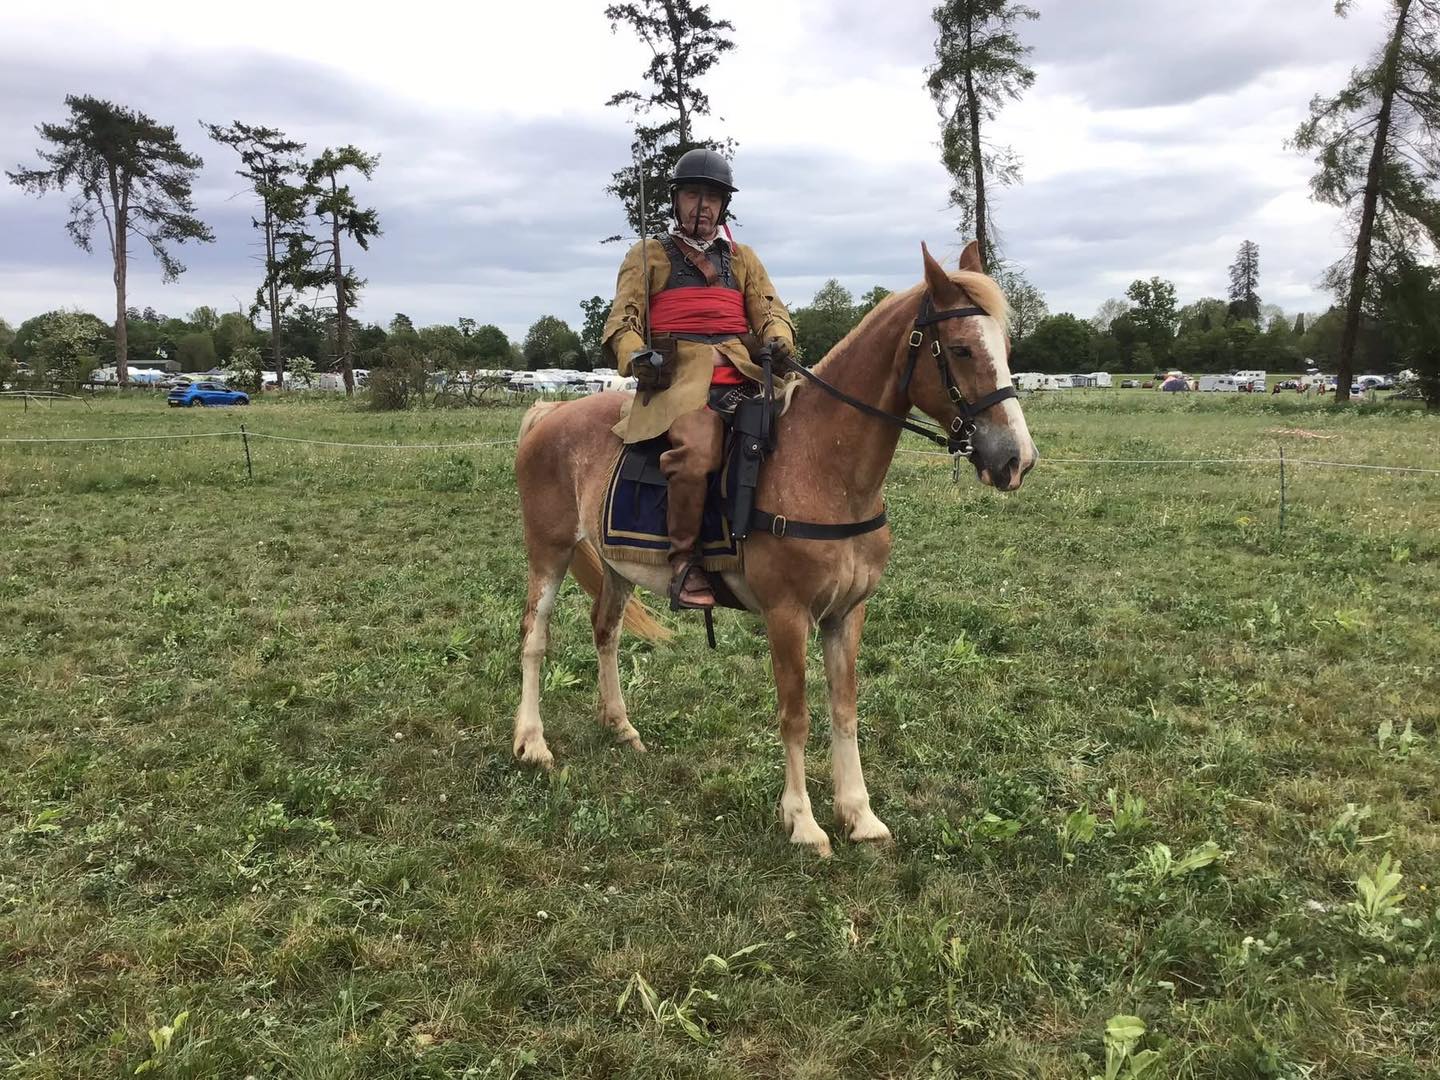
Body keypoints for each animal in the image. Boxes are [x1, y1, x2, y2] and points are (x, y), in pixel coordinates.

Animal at [511, 240, 1037, 855]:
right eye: (959, 348)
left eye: (1005, 348)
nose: (1016, 459)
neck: (825, 467)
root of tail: (550, 412)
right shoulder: (787, 615)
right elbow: (796, 715)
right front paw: (804, 822)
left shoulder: (846, 614)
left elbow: (844, 709)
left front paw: (860, 814)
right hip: (549, 551)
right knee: (534, 637)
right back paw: (532, 742)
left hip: (617, 566)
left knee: (606, 631)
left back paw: (619, 726)